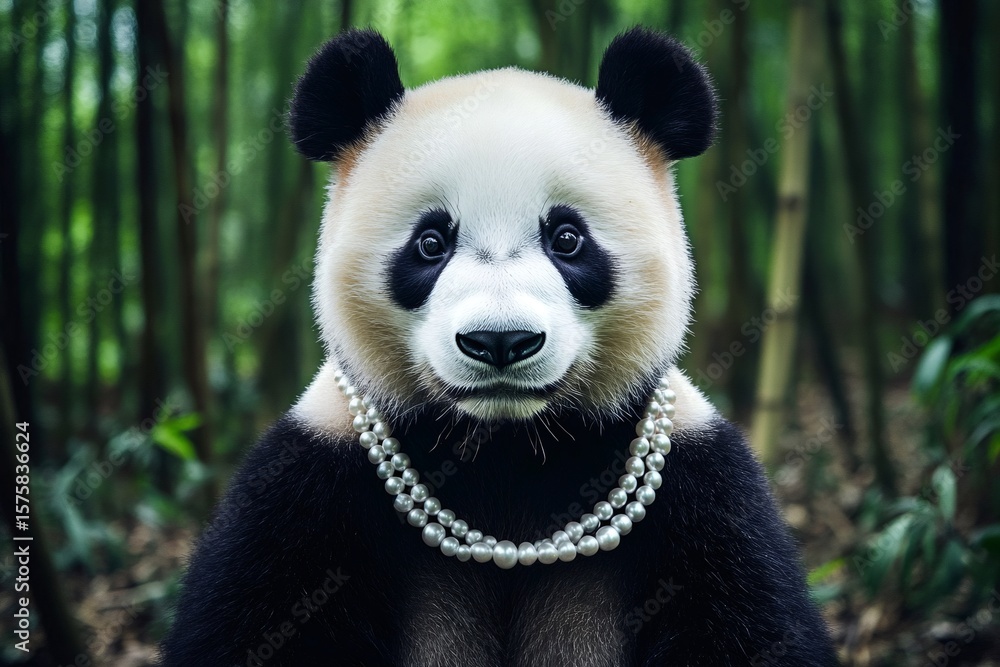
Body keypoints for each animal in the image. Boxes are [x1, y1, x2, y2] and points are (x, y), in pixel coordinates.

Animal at [161, 27, 837, 666]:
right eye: (430, 243)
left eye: (567, 238)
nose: (500, 341)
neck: (506, 446)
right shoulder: (309, 483)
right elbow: (255, 617)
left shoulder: (705, 491)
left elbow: (752, 624)